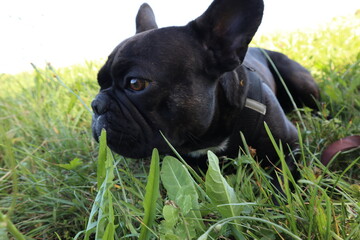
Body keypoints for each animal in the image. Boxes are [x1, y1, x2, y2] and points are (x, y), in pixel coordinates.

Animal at [91, 0, 320, 182]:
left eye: (136, 83)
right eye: (100, 81)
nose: (96, 104)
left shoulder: (291, 145)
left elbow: (283, 176)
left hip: (301, 82)